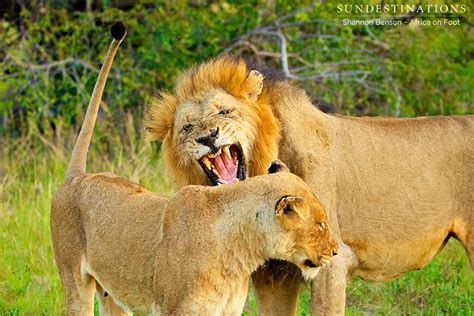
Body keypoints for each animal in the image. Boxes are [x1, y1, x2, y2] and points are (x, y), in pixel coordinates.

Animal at [51, 24, 336, 314]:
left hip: (112, 293)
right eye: (320, 225)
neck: (241, 250)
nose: (335, 252)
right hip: (73, 277)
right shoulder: (177, 309)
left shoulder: (230, 309)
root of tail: (77, 176)